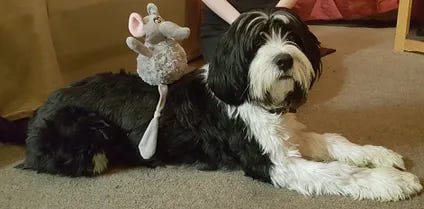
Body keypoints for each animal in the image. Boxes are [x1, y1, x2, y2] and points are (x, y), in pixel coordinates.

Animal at [19, 8, 420, 201]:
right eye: (256, 44)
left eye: (290, 36)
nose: (284, 60)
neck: (249, 94)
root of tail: (37, 112)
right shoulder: (272, 162)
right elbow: (337, 172)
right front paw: (391, 183)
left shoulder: (285, 134)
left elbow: (335, 143)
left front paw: (380, 154)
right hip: (89, 140)